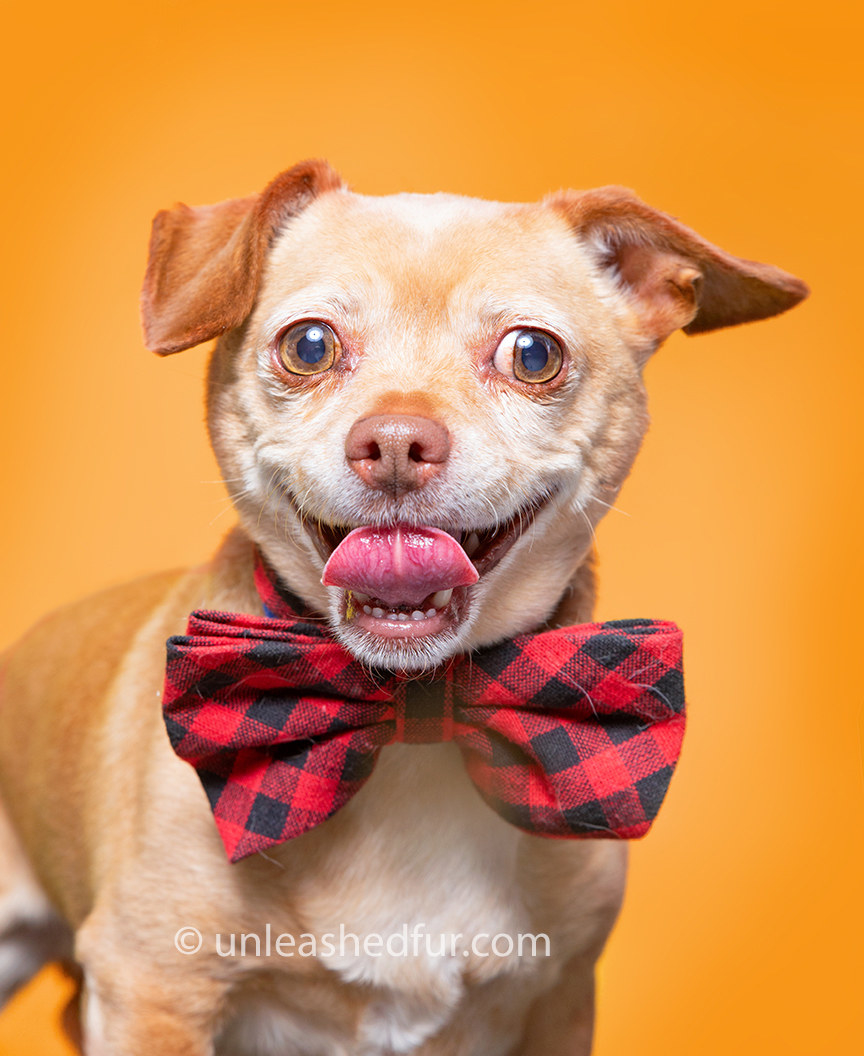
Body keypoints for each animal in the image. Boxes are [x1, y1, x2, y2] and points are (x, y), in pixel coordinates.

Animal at [1, 158, 806, 1056]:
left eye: (533, 354)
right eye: (308, 345)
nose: (394, 441)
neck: (412, 717)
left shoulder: (559, 1000)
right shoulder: (154, 989)